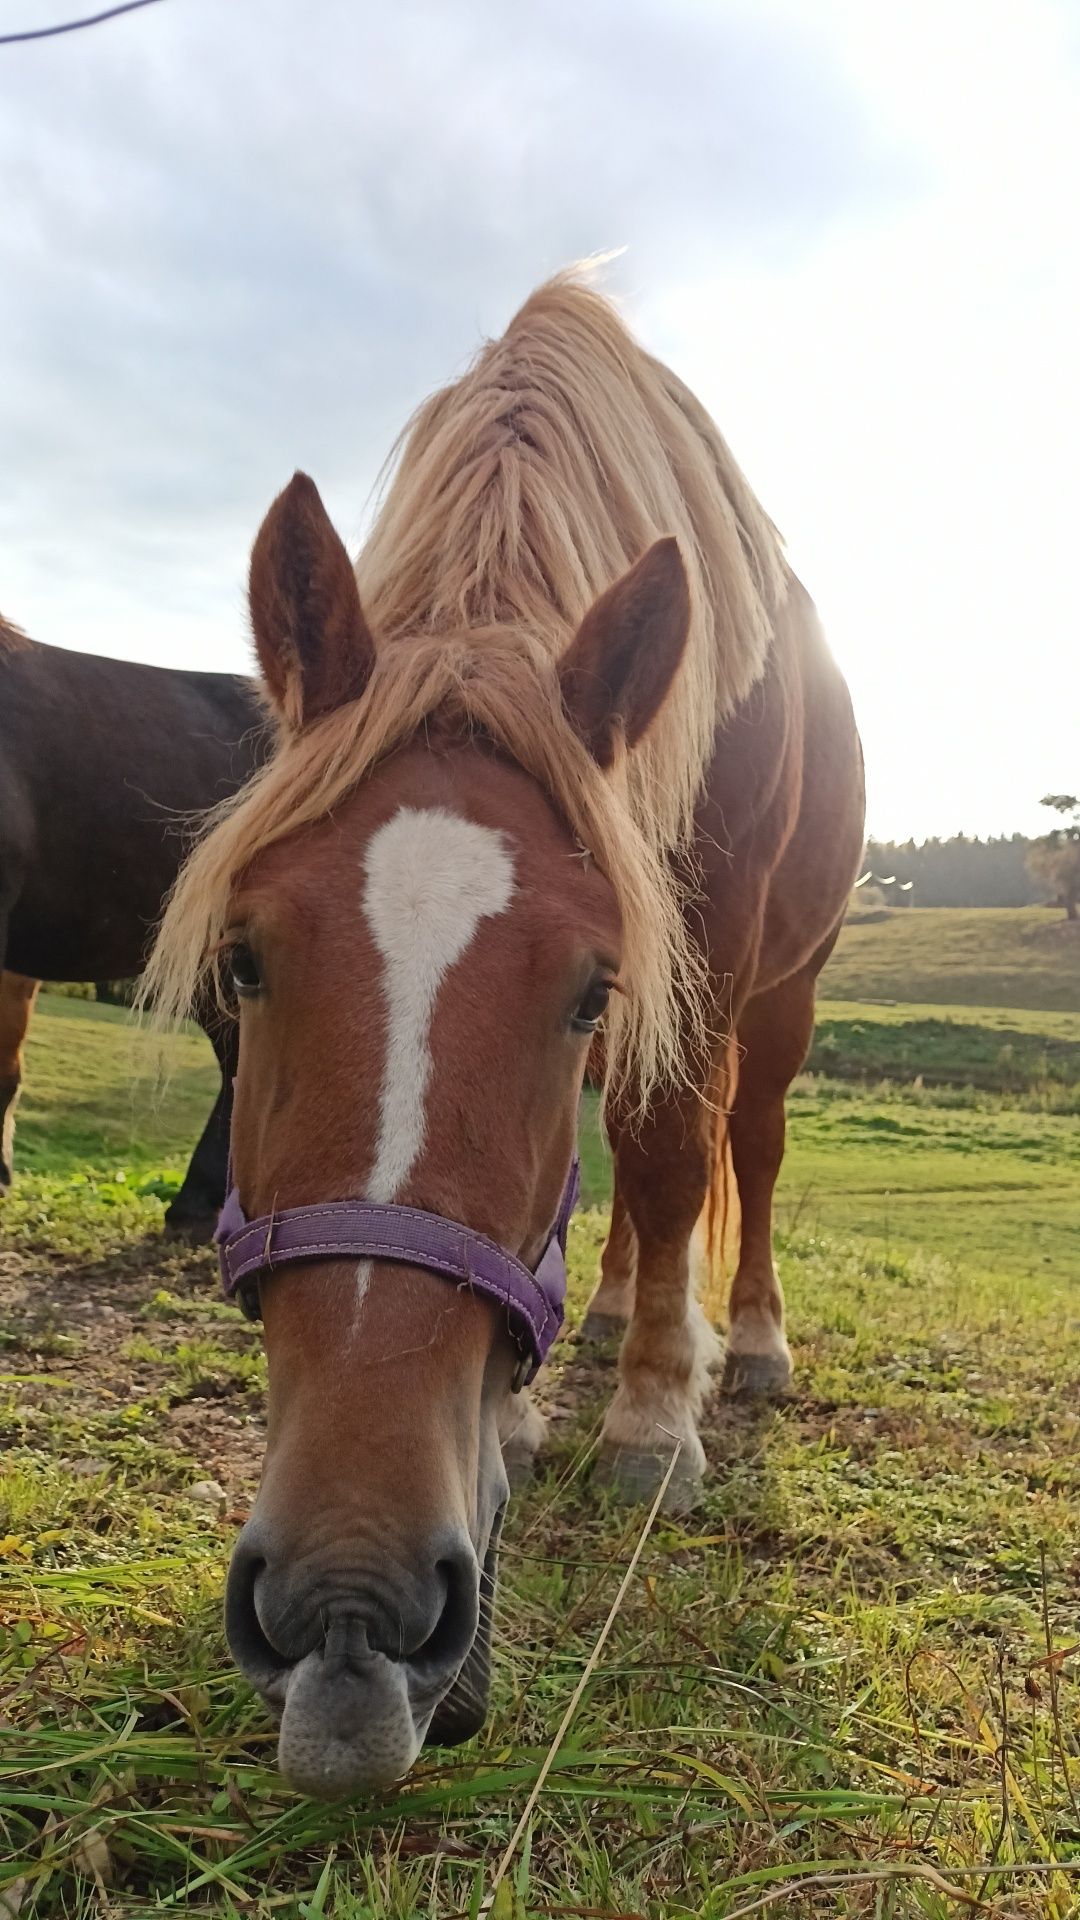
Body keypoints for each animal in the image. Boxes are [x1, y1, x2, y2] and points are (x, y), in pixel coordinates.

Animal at [147, 278, 860, 1789]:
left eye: (586, 990)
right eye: (243, 960)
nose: (347, 1605)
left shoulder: (694, 972)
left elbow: (672, 1156)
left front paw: (655, 1422)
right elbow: (610, 1187)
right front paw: (530, 1413)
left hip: (787, 994)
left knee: (744, 1154)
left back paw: (742, 1345)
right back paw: (609, 1319)